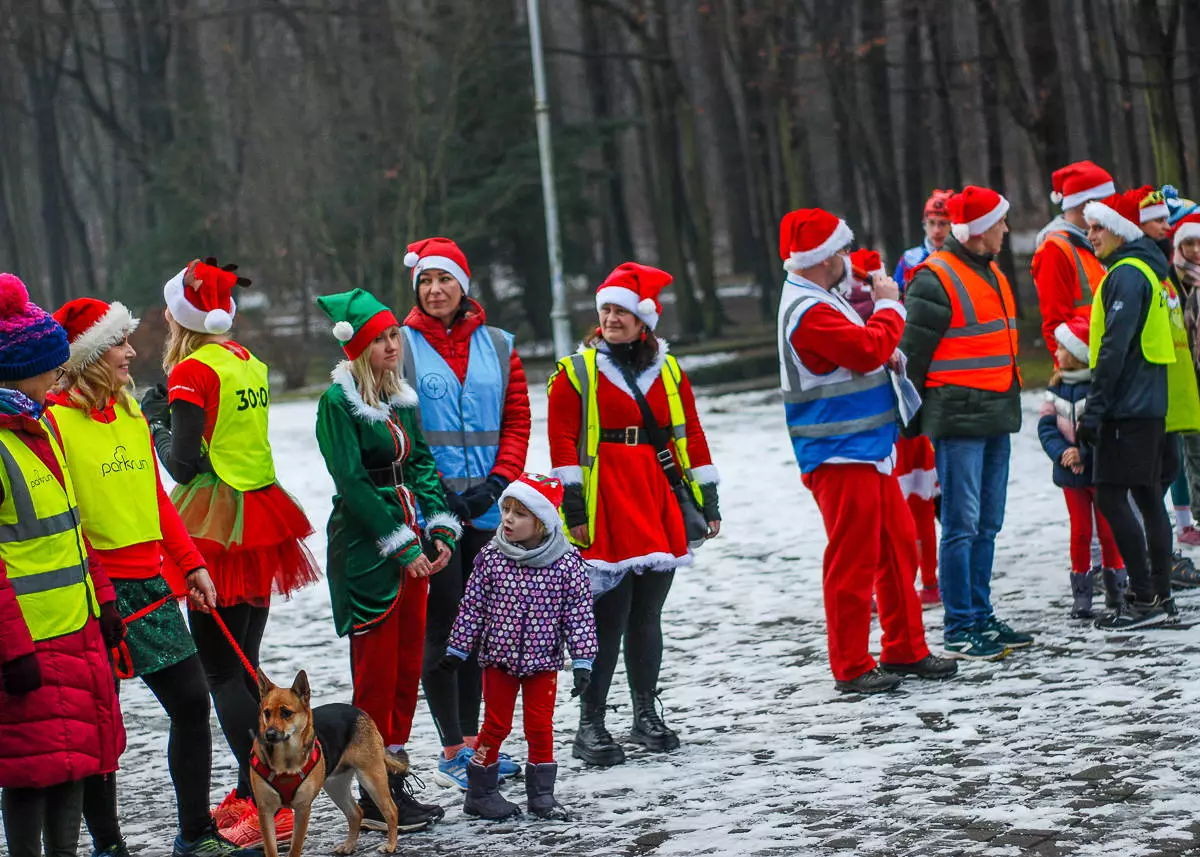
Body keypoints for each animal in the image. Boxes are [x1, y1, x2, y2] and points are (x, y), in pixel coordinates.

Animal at [250, 667, 405, 854]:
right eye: (266, 713)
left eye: (286, 713)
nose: (270, 734)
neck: (285, 757)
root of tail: (358, 711)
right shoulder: (265, 811)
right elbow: (271, 849)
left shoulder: (303, 809)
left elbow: (295, 848)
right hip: (335, 785)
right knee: (356, 813)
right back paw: (349, 845)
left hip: (371, 777)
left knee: (391, 810)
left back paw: (391, 844)